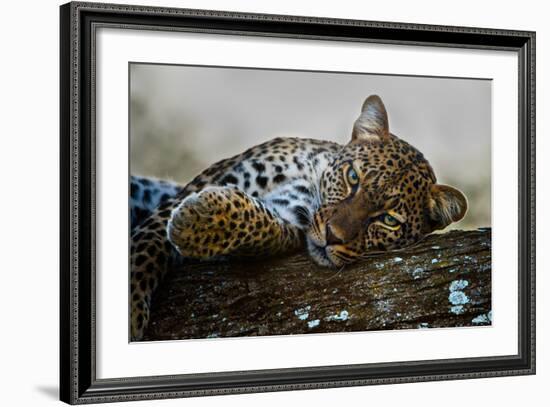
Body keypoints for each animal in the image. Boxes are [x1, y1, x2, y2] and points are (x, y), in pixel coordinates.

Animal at [130, 95, 470, 342]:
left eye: (389, 220)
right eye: (352, 177)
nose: (333, 236)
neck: (310, 177)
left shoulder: (290, 221)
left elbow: (261, 226)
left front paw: (198, 221)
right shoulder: (190, 191)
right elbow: (144, 252)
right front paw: (132, 314)